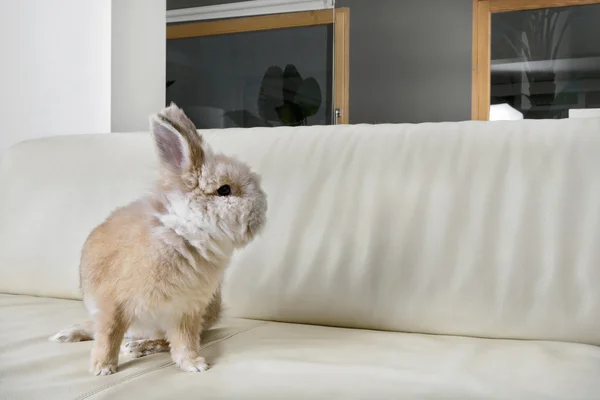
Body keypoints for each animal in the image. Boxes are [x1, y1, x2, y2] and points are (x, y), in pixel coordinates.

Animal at [50, 103, 266, 376]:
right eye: (224, 190)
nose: (261, 213)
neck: (185, 235)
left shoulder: (186, 310)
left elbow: (184, 341)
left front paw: (194, 364)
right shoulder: (112, 302)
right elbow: (108, 335)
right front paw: (102, 368)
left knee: (162, 340)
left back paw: (136, 346)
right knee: (99, 328)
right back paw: (68, 334)